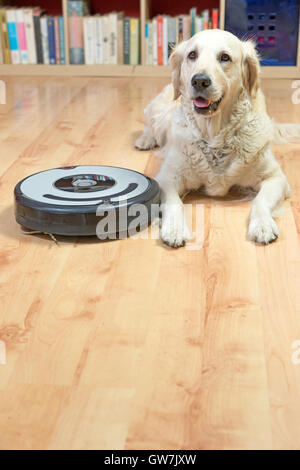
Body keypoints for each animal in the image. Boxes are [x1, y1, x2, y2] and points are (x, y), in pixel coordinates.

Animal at [136, 28, 300, 250]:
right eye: (192, 55)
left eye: (225, 57)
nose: (199, 80)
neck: (214, 136)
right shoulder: (167, 178)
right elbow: (174, 203)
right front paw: (175, 229)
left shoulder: (275, 178)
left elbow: (260, 201)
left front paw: (263, 225)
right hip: (156, 110)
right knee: (148, 124)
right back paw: (145, 140)